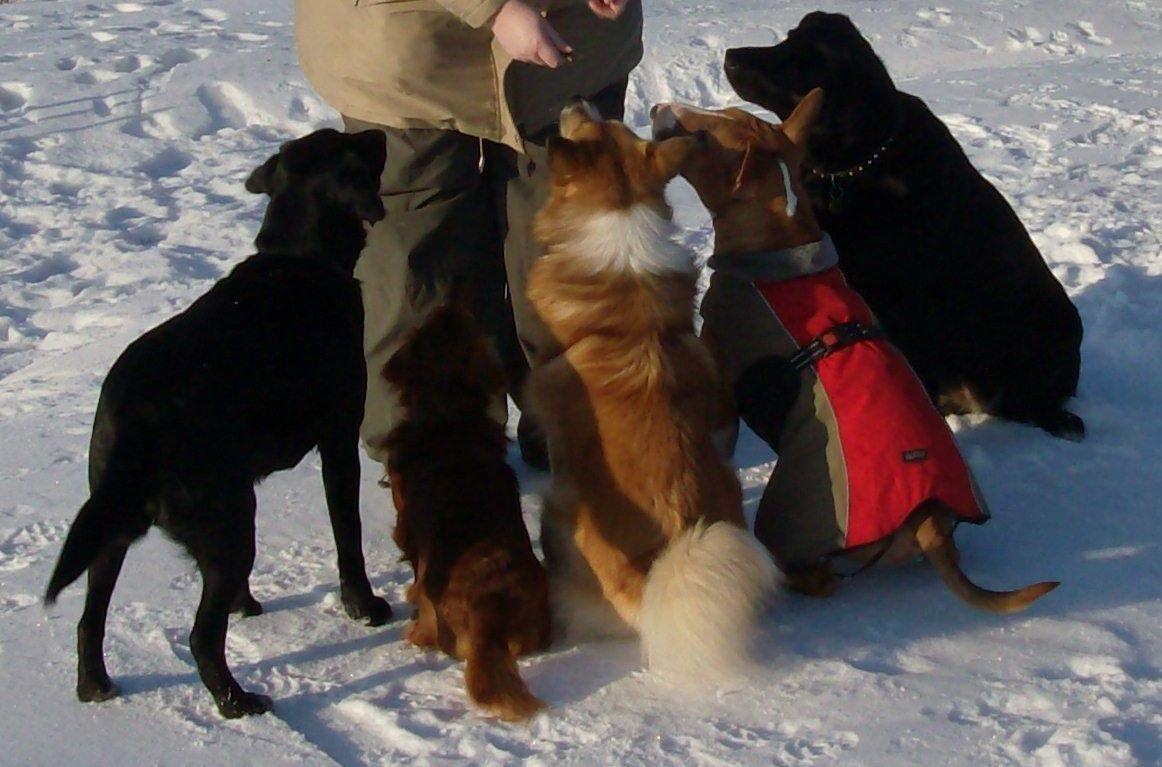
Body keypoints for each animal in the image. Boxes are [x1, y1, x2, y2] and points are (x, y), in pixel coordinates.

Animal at [45, 127, 395, 720]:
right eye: (353, 146)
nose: (378, 130)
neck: (298, 259)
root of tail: (136, 416)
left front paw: (245, 604)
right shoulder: (338, 441)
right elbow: (348, 537)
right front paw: (364, 606)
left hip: (113, 522)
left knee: (90, 618)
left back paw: (94, 684)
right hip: (229, 519)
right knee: (201, 637)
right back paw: (237, 701)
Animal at [529, 100, 780, 678]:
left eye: (588, 125)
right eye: (613, 126)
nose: (575, 101)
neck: (619, 217)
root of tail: (653, 586)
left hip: (561, 506)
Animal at [720, 11, 1082, 439]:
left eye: (797, 64)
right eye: (787, 39)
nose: (730, 55)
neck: (855, 165)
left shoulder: (907, 304)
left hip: (1056, 328)